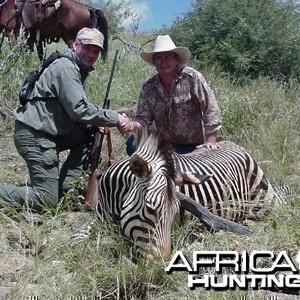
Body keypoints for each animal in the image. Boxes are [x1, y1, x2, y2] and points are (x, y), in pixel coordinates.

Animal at [94, 130, 290, 262]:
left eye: (175, 213)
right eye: (150, 208)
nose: (161, 265)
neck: (112, 193)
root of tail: (239, 148)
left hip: (263, 202)